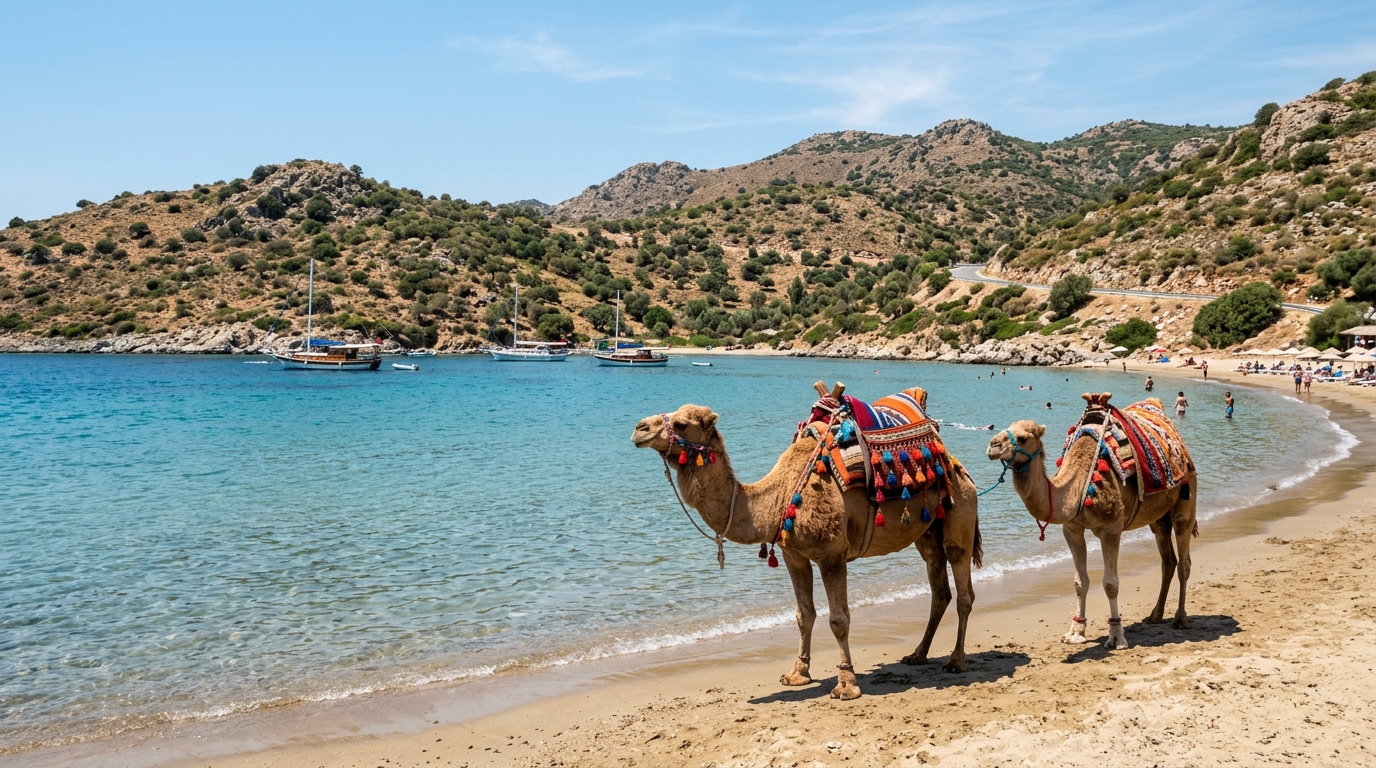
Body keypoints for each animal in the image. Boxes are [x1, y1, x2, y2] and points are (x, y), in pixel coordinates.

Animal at [631, 384, 982, 699]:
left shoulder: (832, 554)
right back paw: (917, 655)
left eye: (681, 423)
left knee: (963, 586)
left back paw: (956, 660)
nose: (639, 428)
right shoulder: (794, 556)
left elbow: (839, 619)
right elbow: (804, 615)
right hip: (928, 533)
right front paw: (797, 673)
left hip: (961, 512)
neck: (780, 496)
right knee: (939, 589)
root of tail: (957, 466)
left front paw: (846, 684)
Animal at [986, 393, 1198, 650]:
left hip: (1186, 497)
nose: (992, 446)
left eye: (1023, 438)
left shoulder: (1111, 529)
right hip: (1157, 518)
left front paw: (1116, 636)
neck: (1080, 485)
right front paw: (1075, 631)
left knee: (1184, 558)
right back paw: (1155, 615)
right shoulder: (1072, 528)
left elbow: (1110, 583)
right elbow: (1080, 582)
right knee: (1167, 560)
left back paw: (1180, 618)